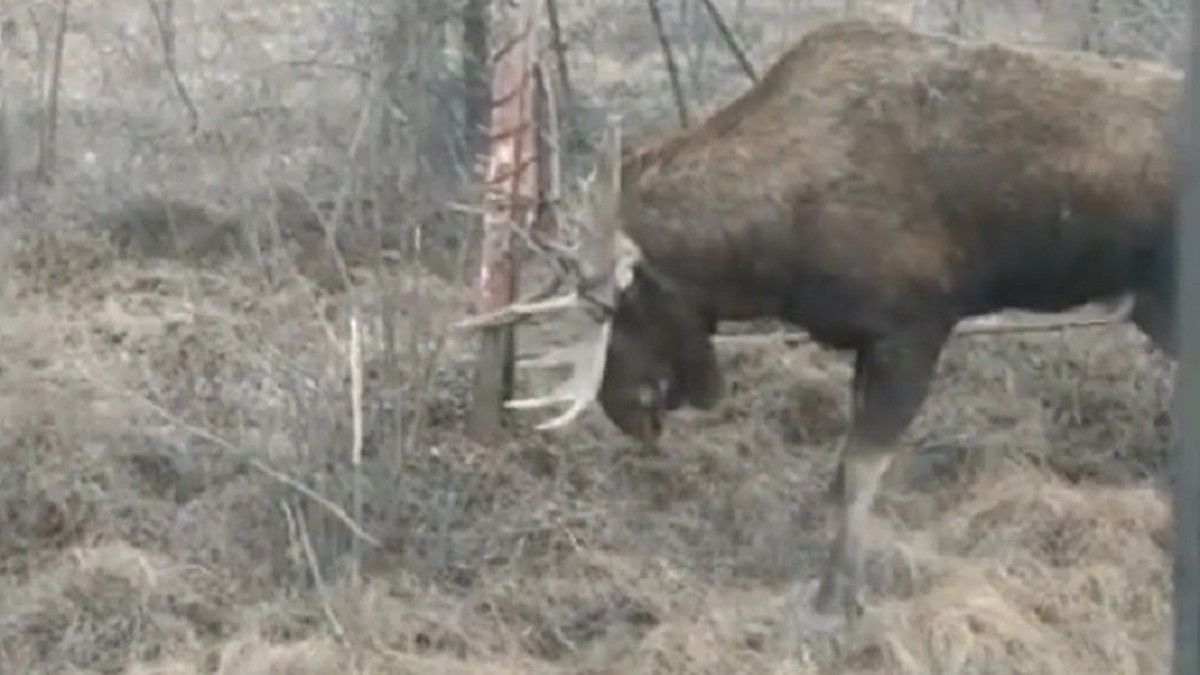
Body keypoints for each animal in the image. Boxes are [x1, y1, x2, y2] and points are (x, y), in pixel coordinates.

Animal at [456, 19, 1180, 619]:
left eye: (621, 308)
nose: (625, 410)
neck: (774, 252)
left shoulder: (914, 326)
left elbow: (861, 472)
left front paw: (840, 598)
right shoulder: (865, 342)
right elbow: (840, 476)